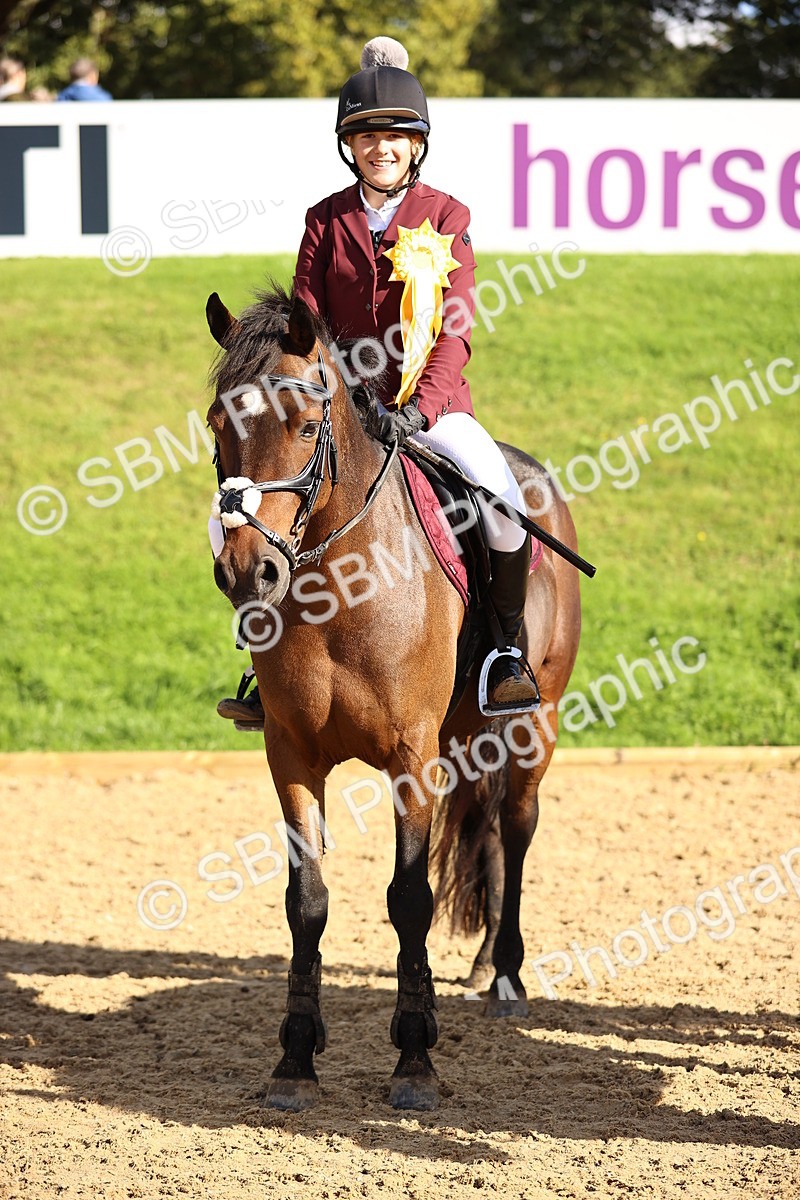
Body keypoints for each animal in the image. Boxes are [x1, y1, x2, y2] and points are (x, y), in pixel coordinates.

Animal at [205, 283, 582, 1112]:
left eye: (305, 424)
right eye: (217, 425)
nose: (248, 572)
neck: (339, 586)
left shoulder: (412, 759)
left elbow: (410, 898)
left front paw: (414, 1060)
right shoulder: (291, 756)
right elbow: (306, 901)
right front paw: (295, 1060)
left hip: (533, 726)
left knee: (518, 824)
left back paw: (506, 978)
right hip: (466, 735)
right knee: (489, 828)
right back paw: (482, 964)